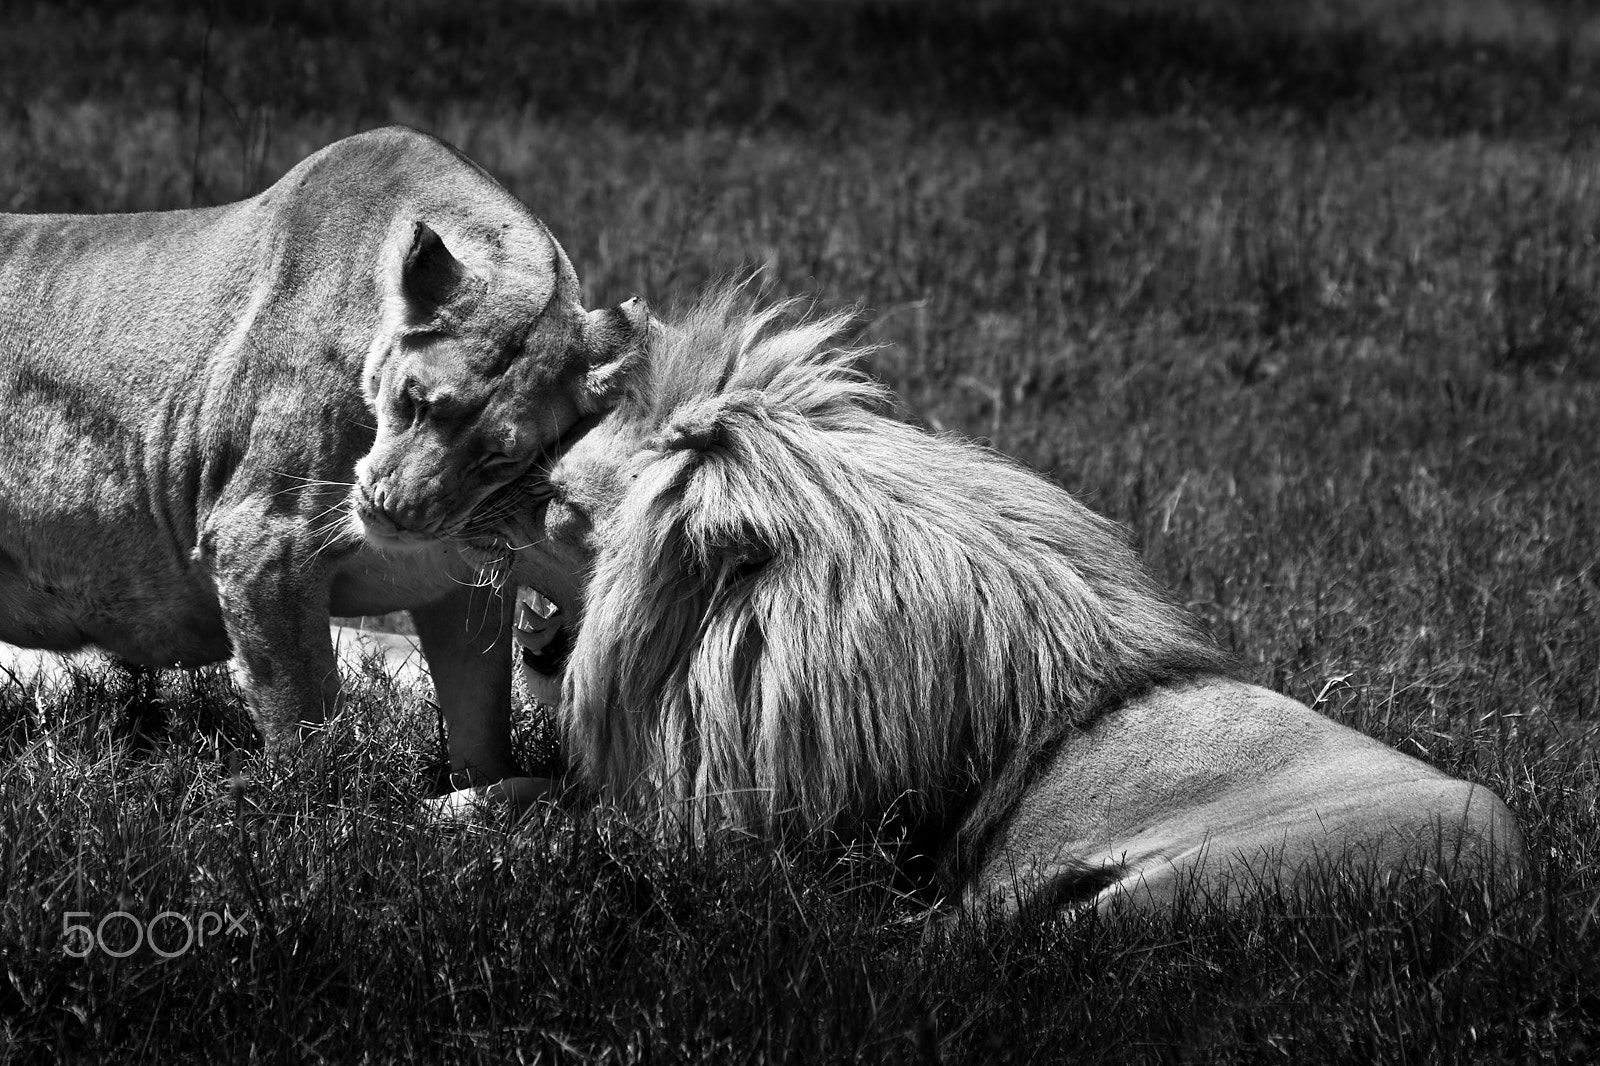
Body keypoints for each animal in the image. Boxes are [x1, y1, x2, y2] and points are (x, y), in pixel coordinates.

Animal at [0, 125, 645, 789]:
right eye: (414, 400)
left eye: (499, 454)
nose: (397, 515)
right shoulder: (263, 544)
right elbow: (303, 721)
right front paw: (301, 799)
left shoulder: (463, 587)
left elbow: (484, 728)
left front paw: (478, 795)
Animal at [490, 288, 1525, 918]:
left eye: (560, 505)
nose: (498, 493)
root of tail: (1509, 880)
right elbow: (525, 791)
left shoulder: (749, 847)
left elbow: (562, 832)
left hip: (1183, 885)